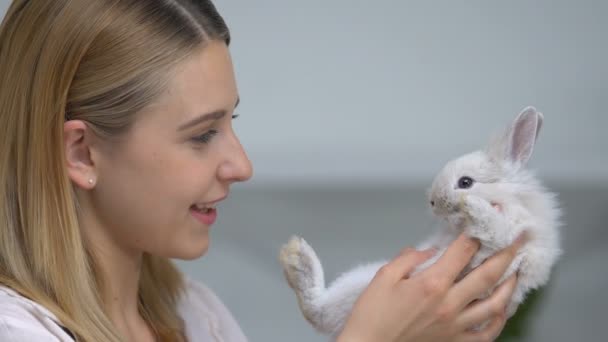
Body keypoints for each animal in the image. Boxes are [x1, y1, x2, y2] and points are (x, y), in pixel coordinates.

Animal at [278, 107, 564, 340]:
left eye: (466, 182)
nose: (433, 201)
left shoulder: (509, 236)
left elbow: (493, 227)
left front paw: (472, 205)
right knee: (317, 311)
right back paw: (296, 258)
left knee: (319, 313)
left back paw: (295, 260)